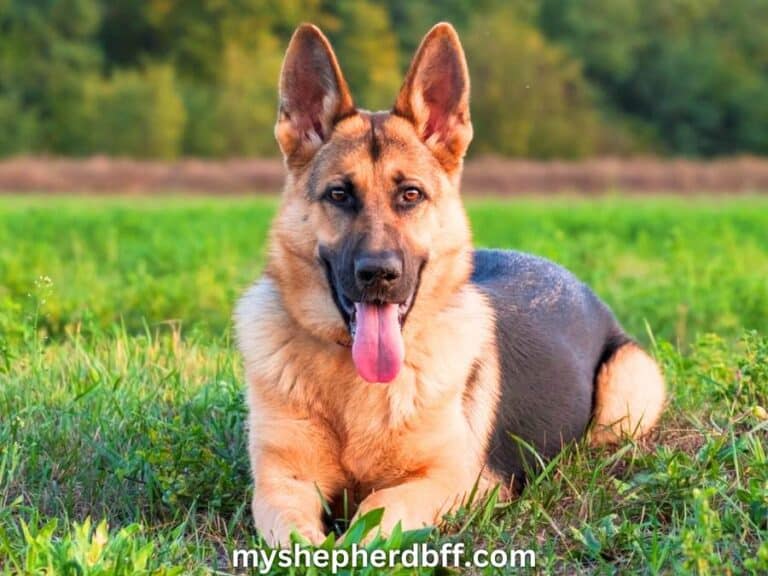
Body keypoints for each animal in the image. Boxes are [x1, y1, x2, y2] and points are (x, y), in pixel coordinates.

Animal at [236, 21, 664, 544]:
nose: (378, 274)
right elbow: (299, 539)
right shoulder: (281, 483)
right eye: (339, 194)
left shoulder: (453, 481)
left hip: (625, 399)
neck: (352, 385)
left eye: (410, 195)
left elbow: (376, 509)